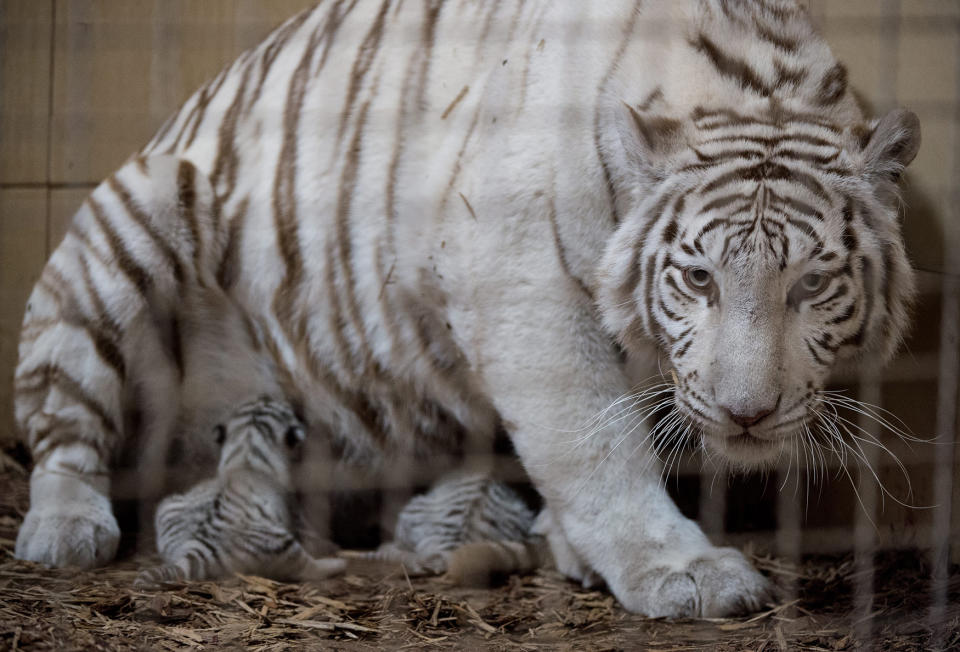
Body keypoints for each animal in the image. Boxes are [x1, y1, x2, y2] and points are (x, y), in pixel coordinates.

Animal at [135, 394, 344, 588]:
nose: (265, 395)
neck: (247, 454)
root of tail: (195, 548)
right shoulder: (293, 511)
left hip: (167, 506)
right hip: (282, 545)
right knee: (307, 568)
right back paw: (338, 563)